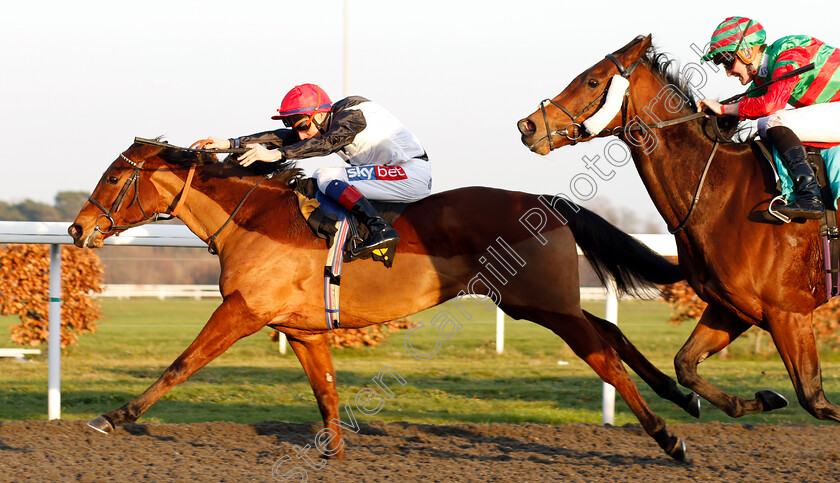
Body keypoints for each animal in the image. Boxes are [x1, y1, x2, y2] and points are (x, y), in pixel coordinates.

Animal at [69, 141, 692, 462]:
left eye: (115, 177)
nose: (77, 230)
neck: (253, 219)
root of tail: (545, 200)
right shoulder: (302, 328)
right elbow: (324, 388)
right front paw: (334, 450)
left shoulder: (242, 310)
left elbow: (181, 364)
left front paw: (113, 416)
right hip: (538, 301)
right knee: (611, 334)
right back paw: (684, 394)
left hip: (541, 304)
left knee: (603, 357)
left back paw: (671, 436)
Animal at [516, 36, 836, 424]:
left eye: (592, 81)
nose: (527, 126)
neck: (724, 195)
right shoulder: (732, 308)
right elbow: (685, 365)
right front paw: (764, 398)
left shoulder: (789, 313)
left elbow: (815, 399)